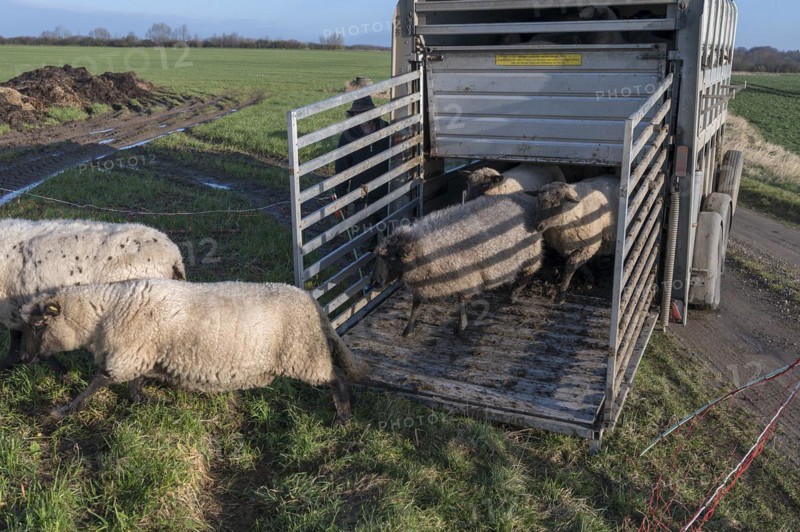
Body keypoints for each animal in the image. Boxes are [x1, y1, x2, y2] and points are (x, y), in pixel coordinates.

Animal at [20, 279, 367, 423]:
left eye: (38, 326)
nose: (23, 358)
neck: (106, 313)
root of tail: (314, 305)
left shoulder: (128, 352)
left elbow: (97, 382)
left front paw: (65, 410)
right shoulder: (145, 351)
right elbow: (134, 384)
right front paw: (146, 401)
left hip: (304, 354)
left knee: (336, 377)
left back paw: (344, 417)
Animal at [369, 193, 547, 336]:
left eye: (393, 258)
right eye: (376, 257)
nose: (374, 282)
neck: (427, 247)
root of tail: (527, 198)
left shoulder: (465, 277)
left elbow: (461, 302)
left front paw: (461, 327)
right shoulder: (422, 282)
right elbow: (416, 304)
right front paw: (408, 328)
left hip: (531, 253)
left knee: (528, 273)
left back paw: (513, 295)